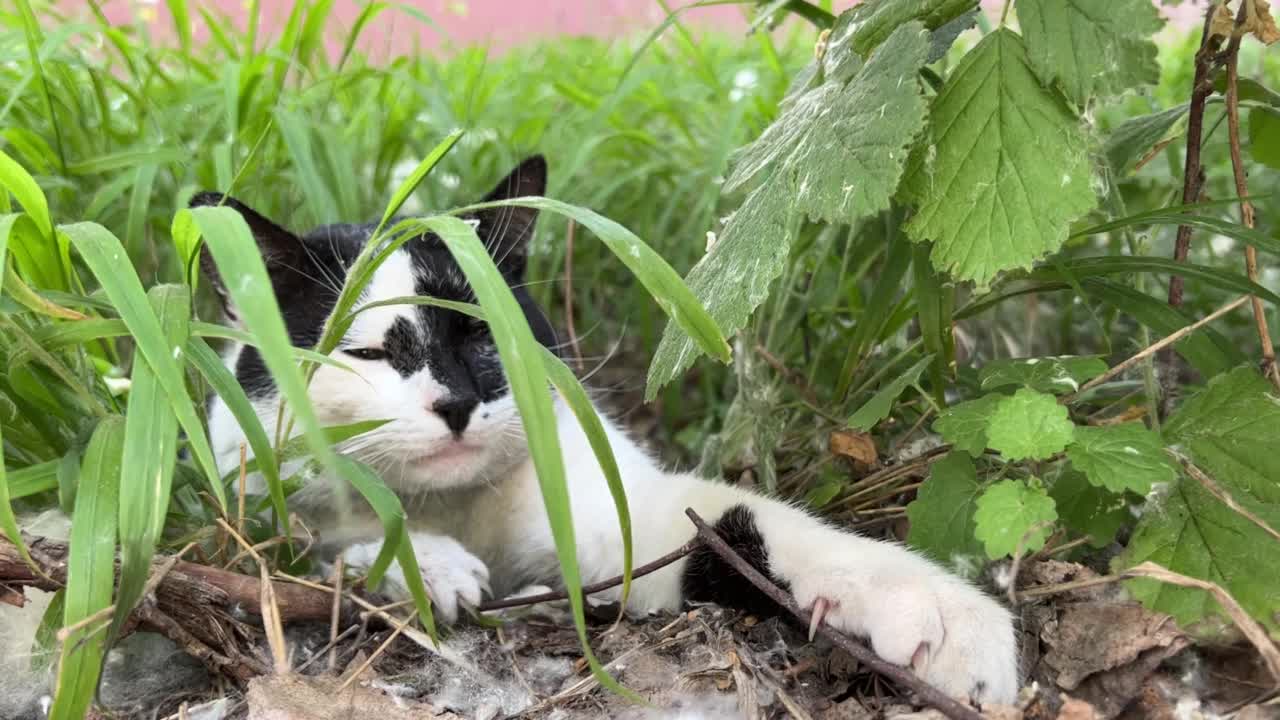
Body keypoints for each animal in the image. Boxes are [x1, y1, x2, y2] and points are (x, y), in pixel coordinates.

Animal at [192, 155, 1018, 702]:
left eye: (483, 334)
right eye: (366, 352)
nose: (456, 402)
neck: (457, 510)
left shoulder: (626, 519)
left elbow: (749, 524)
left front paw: (936, 610)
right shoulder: (253, 514)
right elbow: (320, 547)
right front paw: (426, 564)